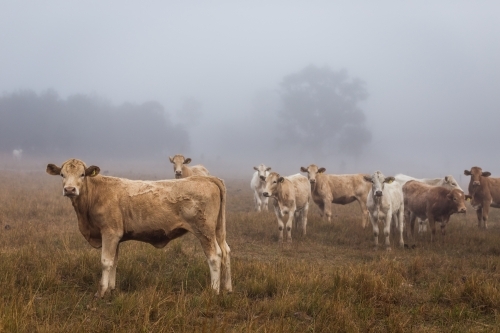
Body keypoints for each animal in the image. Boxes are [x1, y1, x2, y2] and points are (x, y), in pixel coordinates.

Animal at [46, 158, 232, 298]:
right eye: (62, 174)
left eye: (82, 174)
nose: (70, 189)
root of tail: (207, 179)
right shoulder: (116, 236)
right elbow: (114, 262)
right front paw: (111, 289)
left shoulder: (109, 233)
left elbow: (106, 262)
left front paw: (101, 292)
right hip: (218, 230)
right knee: (226, 252)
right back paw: (227, 288)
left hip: (205, 232)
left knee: (215, 256)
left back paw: (214, 291)